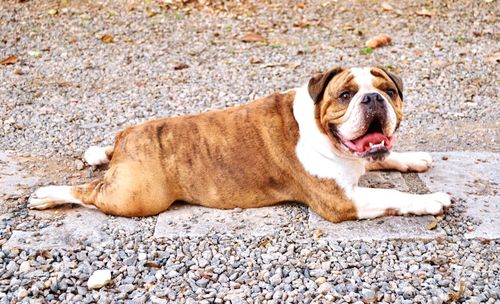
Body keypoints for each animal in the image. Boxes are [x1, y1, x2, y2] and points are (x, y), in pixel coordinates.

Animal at [27, 66, 452, 222]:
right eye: (346, 95)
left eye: (387, 91)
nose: (373, 99)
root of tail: (128, 138)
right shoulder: (341, 201)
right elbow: (393, 196)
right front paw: (430, 200)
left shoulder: (361, 161)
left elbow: (383, 157)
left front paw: (413, 159)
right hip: (138, 196)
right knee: (89, 192)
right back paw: (46, 195)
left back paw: (97, 152)